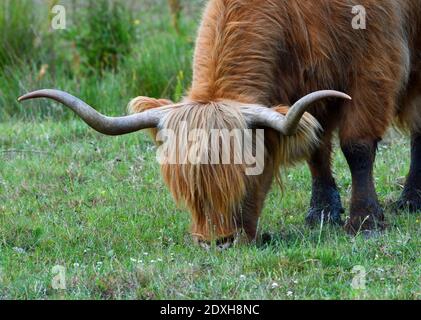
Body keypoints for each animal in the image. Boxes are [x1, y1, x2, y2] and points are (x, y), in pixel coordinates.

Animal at [18, 0, 420, 246]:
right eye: (183, 186)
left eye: (246, 174)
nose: (217, 241)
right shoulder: (306, 87)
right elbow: (315, 148)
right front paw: (321, 213)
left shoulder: (375, 65)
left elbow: (357, 146)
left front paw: (365, 222)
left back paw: (411, 200)